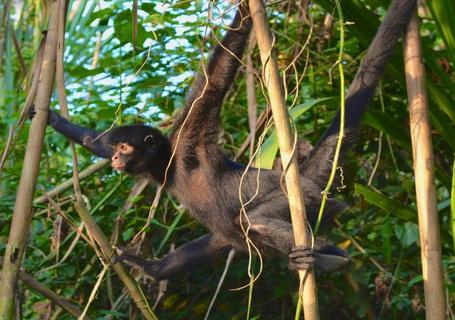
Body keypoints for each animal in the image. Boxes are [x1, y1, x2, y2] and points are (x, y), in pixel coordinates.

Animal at [37, 0, 418, 280]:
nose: (117, 159)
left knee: (253, 221)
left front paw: (248, 10)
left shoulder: (189, 137)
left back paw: (332, 257)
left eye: (125, 148)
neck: (172, 167)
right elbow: (94, 141)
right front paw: (48, 115)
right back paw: (156, 270)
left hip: (304, 199)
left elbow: (217, 77)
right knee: (225, 237)